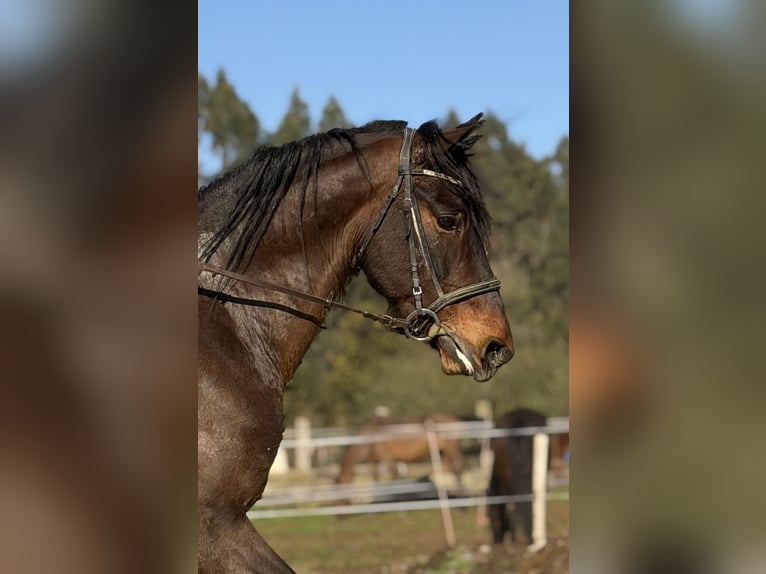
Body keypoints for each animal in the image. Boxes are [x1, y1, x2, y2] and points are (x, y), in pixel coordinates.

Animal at [335, 414, 465, 486]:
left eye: (340, 486)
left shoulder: (387, 457)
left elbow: (394, 476)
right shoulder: (373, 461)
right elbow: (376, 478)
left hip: (452, 449)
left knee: (457, 468)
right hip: (442, 452)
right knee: (446, 469)